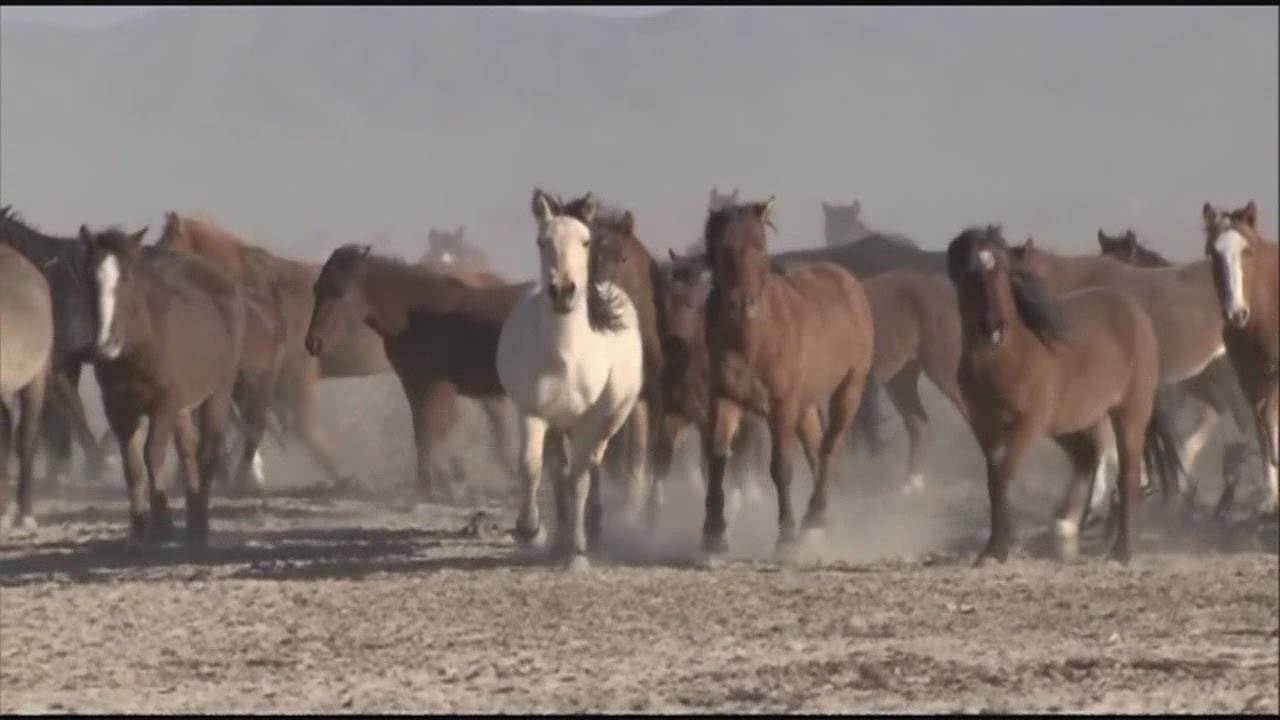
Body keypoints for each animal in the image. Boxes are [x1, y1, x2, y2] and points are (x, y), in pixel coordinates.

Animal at [82, 224, 245, 550]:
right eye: (90, 278)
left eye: (126, 278)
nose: (104, 346)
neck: (139, 344)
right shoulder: (117, 408)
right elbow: (132, 465)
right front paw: (137, 532)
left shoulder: (164, 403)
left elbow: (152, 454)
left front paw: (160, 525)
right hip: (181, 408)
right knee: (188, 449)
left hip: (217, 392)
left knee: (207, 450)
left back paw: (199, 527)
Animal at [497, 189, 644, 572]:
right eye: (542, 241)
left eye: (585, 241)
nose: (563, 291)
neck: (566, 359)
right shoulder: (534, 414)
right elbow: (531, 467)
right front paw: (530, 529)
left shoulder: (590, 421)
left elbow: (579, 480)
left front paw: (577, 551)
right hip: (558, 425)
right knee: (558, 469)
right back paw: (560, 536)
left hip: (607, 421)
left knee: (591, 464)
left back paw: (589, 529)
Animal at [700, 196, 876, 561]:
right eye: (724, 246)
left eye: (759, 245)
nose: (743, 305)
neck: (752, 339)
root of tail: (848, 281)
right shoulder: (724, 399)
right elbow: (718, 458)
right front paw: (713, 537)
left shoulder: (781, 406)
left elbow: (781, 467)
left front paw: (786, 538)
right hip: (806, 403)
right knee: (816, 447)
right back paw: (823, 520)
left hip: (849, 389)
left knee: (830, 447)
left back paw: (814, 519)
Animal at [946, 225, 1183, 566]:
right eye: (968, 272)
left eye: (1002, 271)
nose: (993, 327)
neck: (1009, 356)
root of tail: (1134, 311)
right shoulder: (984, 427)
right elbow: (994, 479)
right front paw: (997, 547)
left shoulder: (1027, 425)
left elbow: (1004, 474)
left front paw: (998, 549)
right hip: (1066, 424)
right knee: (1087, 456)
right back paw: (1068, 526)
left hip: (1129, 413)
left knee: (1127, 477)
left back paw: (1120, 552)